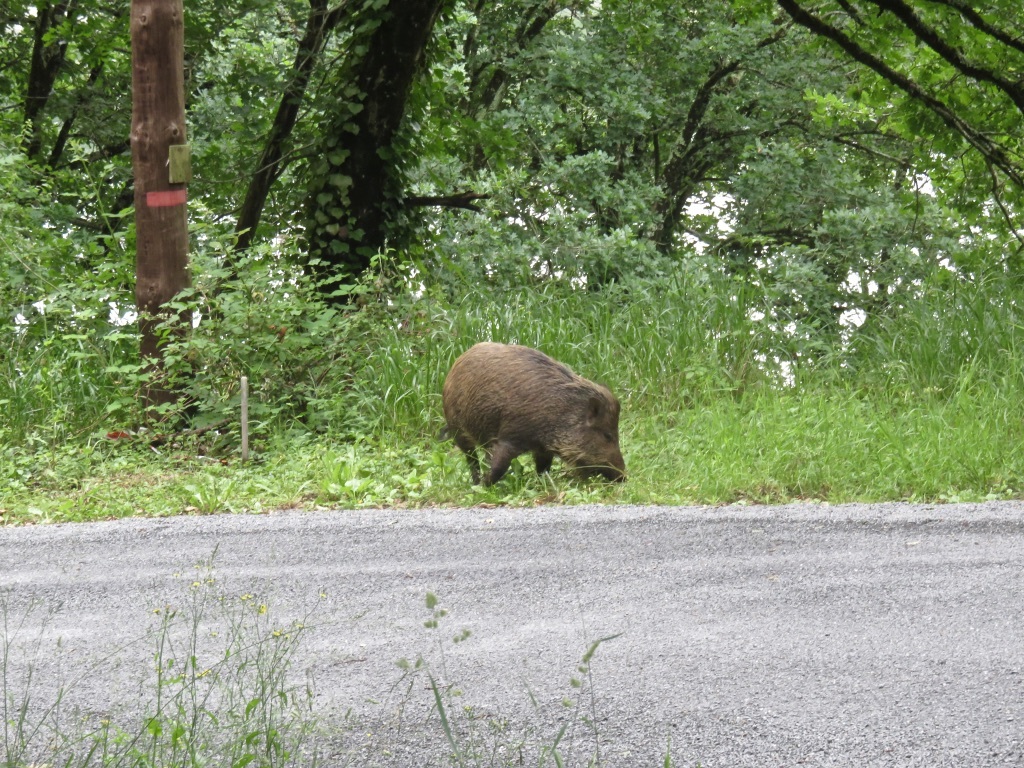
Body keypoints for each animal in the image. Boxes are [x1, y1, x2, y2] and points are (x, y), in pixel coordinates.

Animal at [441, 342, 626, 486]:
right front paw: (485, 486)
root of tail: (456, 363)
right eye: (607, 435)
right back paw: (476, 482)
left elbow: (543, 469)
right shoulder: (510, 436)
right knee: (471, 458)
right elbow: (499, 467)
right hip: (458, 429)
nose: (623, 477)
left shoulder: (543, 449)